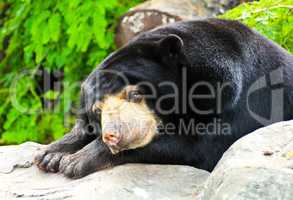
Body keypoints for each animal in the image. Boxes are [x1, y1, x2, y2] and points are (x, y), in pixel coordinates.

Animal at [33, 18, 292, 178]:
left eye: (135, 93)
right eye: (98, 111)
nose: (112, 135)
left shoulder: (234, 97)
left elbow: (198, 148)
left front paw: (75, 161)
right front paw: (50, 154)